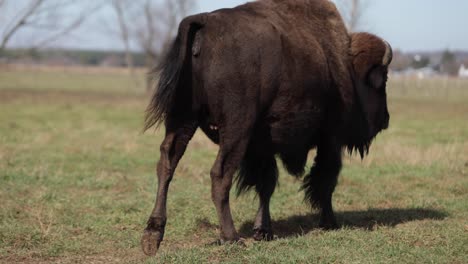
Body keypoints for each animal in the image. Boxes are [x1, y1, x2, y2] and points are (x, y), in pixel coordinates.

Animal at [141, 0, 394, 256]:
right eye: (383, 79)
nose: (385, 119)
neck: (346, 66)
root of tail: (204, 22)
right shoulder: (331, 140)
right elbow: (324, 181)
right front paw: (330, 222)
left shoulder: (263, 147)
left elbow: (267, 185)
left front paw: (263, 231)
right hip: (235, 129)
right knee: (219, 175)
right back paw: (231, 237)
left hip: (182, 118)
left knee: (167, 163)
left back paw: (152, 235)